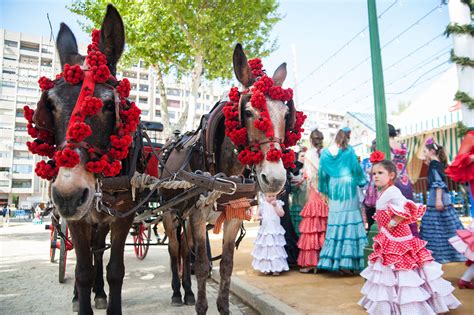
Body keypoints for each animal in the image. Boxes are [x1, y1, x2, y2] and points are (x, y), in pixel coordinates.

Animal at [34, 6, 143, 314]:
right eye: (50, 105)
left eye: (108, 104)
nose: (69, 195)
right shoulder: (76, 220)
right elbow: (81, 270)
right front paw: (81, 298)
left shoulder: (124, 214)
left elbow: (114, 269)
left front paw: (107, 298)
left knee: (97, 251)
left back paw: (100, 292)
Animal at [161, 44, 298, 315]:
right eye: (248, 112)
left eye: (286, 113)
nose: (275, 179)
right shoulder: (197, 214)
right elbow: (203, 265)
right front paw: (202, 306)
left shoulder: (234, 215)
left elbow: (226, 265)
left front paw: (222, 306)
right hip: (170, 214)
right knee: (174, 250)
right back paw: (176, 293)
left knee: (185, 250)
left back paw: (188, 292)